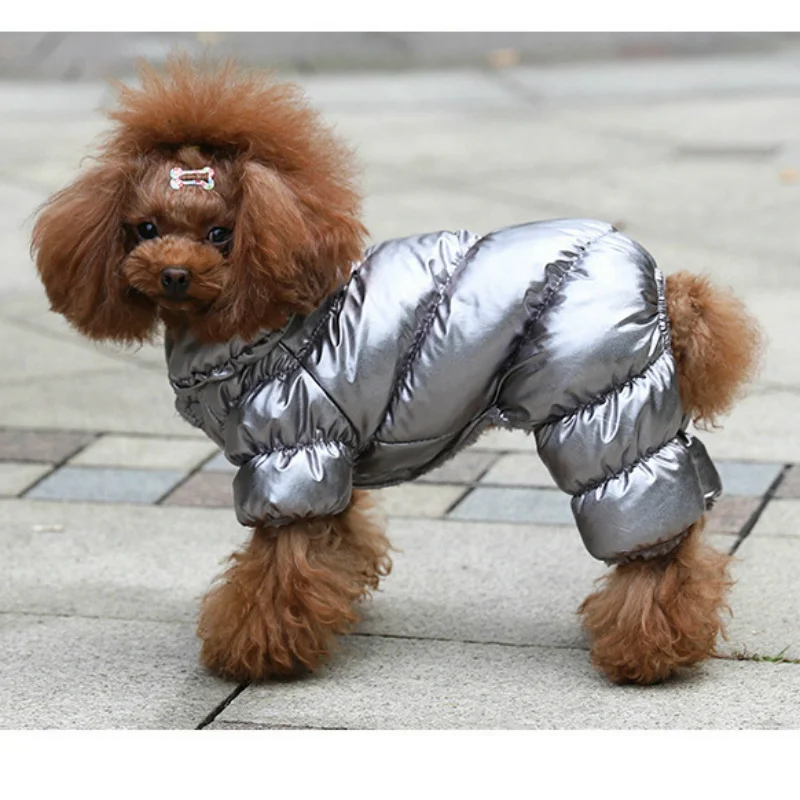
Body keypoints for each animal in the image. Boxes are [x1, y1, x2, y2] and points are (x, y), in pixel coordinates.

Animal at [31, 59, 761, 686]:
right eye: (145, 228)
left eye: (220, 235)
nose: (173, 273)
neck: (262, 320)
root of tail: (662, 282)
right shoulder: (334, 454)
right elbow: (338, 537)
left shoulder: (292, 451)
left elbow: (277, 567)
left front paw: (257, 653)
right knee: (687, 524)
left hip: (595, 418)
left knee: (651, 543)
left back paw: (648, 653)